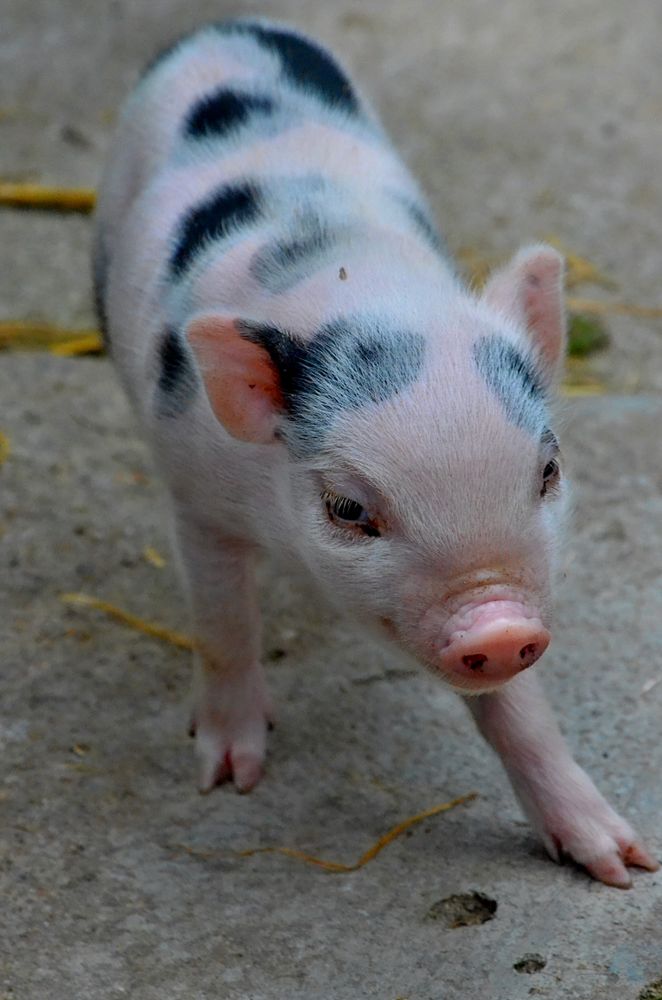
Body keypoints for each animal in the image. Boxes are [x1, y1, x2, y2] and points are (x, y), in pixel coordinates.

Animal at [93, 18, 658, 887]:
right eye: (349, 508)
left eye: (548, 473)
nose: (499, 628)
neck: (358, 289)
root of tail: (230, 25)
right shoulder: (195, 491)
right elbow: (223, 624)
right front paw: (228, 778)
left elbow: (519, 711)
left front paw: (622, 865)